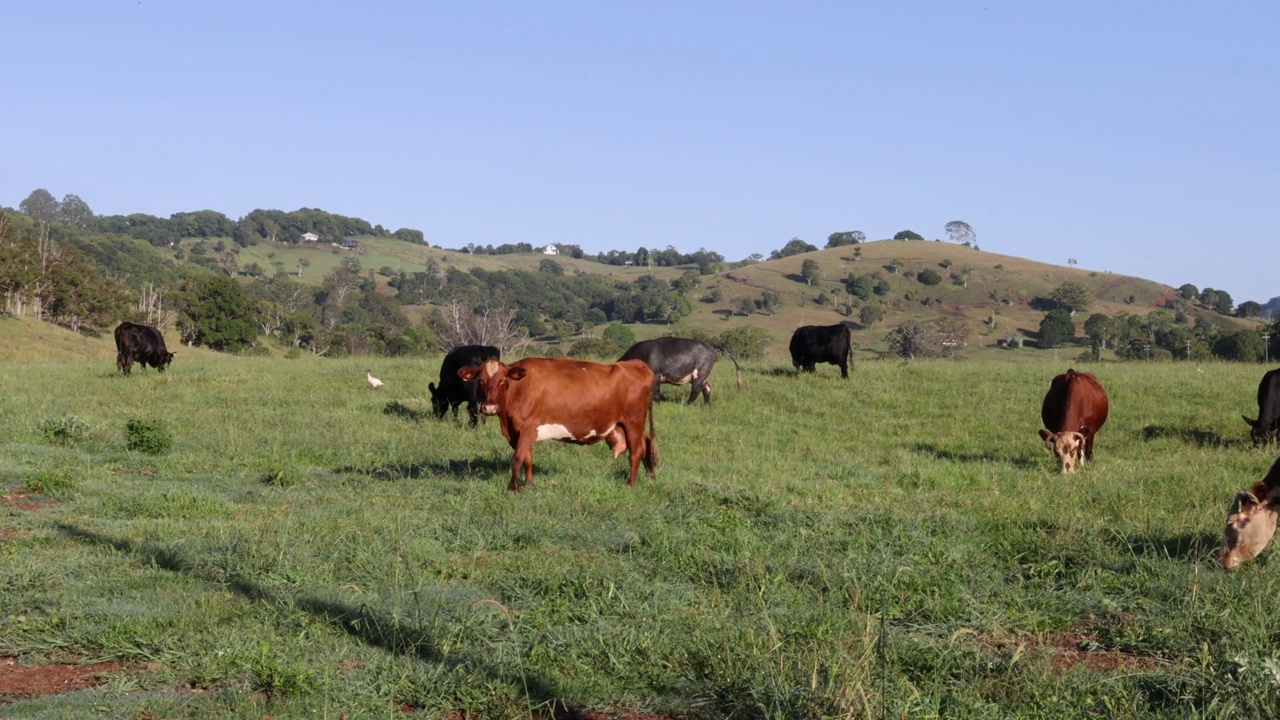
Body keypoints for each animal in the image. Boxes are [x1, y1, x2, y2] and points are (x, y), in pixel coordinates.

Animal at [460, 356, 660, 489]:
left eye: (503, 381)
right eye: (480, 381)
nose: (489, 408)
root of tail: (637, 364)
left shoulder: (528, 428)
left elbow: (517, 459)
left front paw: (513, 488)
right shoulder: (520, 432)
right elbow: (527, 459)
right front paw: (529, 484)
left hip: (634, 421)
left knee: (635, 452)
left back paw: (631, 484)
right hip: (626, 424)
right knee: (645, 446)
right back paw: (649, 476)